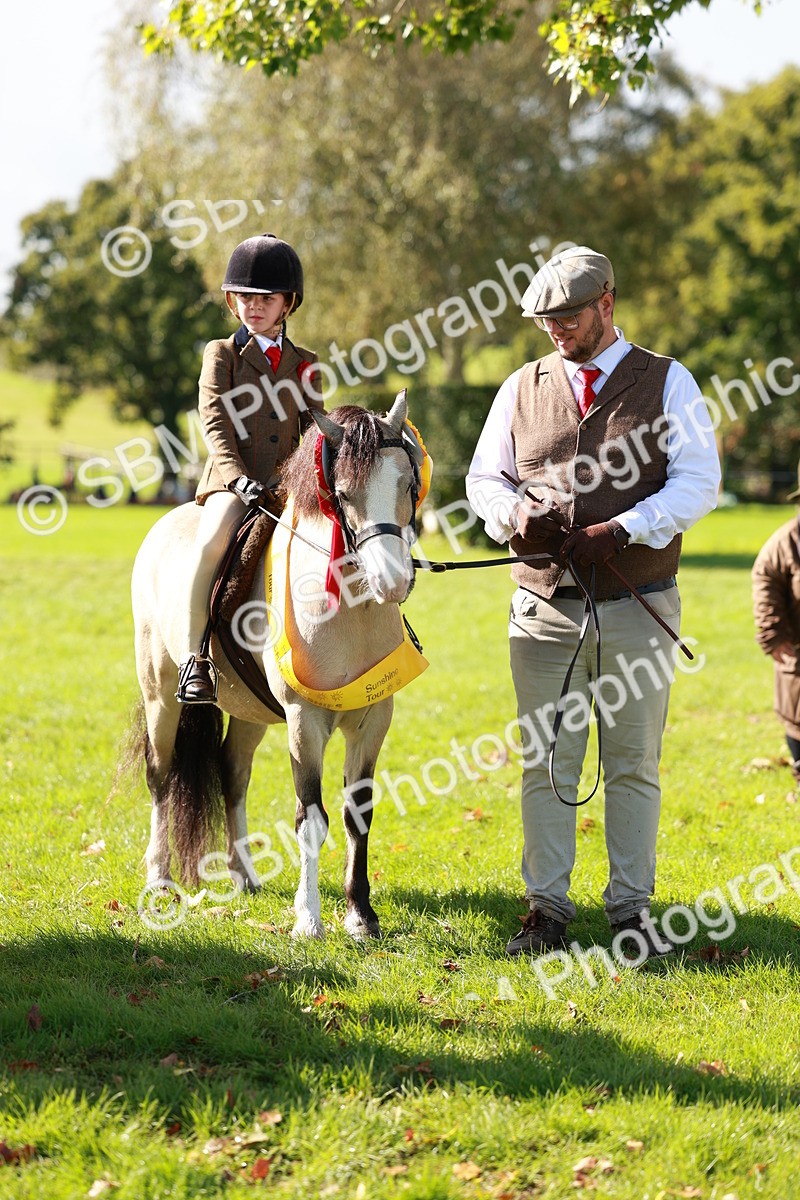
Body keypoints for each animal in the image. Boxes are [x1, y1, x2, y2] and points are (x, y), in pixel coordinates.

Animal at [128, 391, 427, 940]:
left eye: (409, 484)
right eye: (344, 494)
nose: (393, 581)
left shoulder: (374, 720)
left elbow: (358, 812)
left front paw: (360, 915)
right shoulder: (304, 722)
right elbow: (311, 818)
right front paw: (308, 919)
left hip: (251, 711)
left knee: (233, 772)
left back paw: (244, 874)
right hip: (159, 694)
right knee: (160, 774)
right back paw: (159, 880)